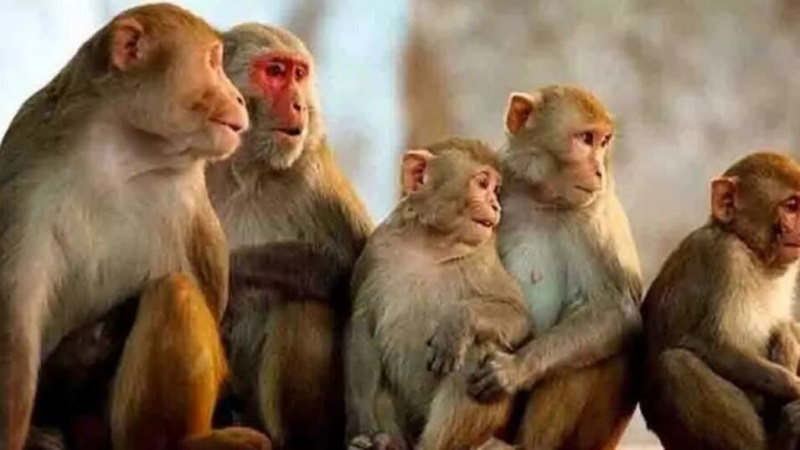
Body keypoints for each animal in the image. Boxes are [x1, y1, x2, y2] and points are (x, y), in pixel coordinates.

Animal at [0, 4, 271, 450]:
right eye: (213, 61)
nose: (236, 96)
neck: (124, 151)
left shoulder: (188, 198)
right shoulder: (28, 170)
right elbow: (17, 320)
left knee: (173, 291)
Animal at [204, 23, 374, 449]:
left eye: (299, 74)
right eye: (275, 72)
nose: (298, 104)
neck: (244, 171)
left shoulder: (314, 176)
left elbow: (356, 273)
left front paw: (233, 270)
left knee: (303, 301)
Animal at [345, 138, 535, 450]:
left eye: (495, 190)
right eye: (482, 183)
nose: (495, 205)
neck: (431, 245)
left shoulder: (483, 258)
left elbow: (518, 317)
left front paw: (457, 324)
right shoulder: (376, 249)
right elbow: (362, 326)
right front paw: (363, 428)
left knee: (476, 350)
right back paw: (384, 443)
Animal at [465, 85, 643, 450]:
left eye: (603, 141)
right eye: (586, 138)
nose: (599, 170)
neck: (543, 200)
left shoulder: (595, 217)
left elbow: (618, 310)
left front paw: (514, 369)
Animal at [639, 152, 800, 450]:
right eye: (792, 206)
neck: (750, 249)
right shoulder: (724, 256)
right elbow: (707, 343)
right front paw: (797, 388)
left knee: (787, 328)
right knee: (676, 366)